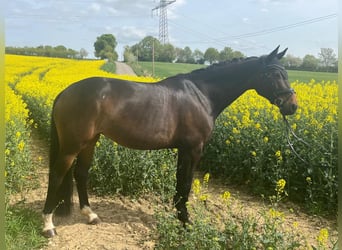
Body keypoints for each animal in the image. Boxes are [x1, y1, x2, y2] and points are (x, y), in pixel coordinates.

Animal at [42, 46, 296, 236]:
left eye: (285, 73)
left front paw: (178, 216)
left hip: (89, 142)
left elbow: (179, 183)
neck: (201, 95)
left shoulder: (183, 150)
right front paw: (185, 221)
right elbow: (185, 185)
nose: (292, 106)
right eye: (274, 74)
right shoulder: (193, 149)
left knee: (80, 174)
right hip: (72, 146)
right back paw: (48, 226)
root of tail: (65, 92)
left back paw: (91, 215)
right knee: (56, 176)